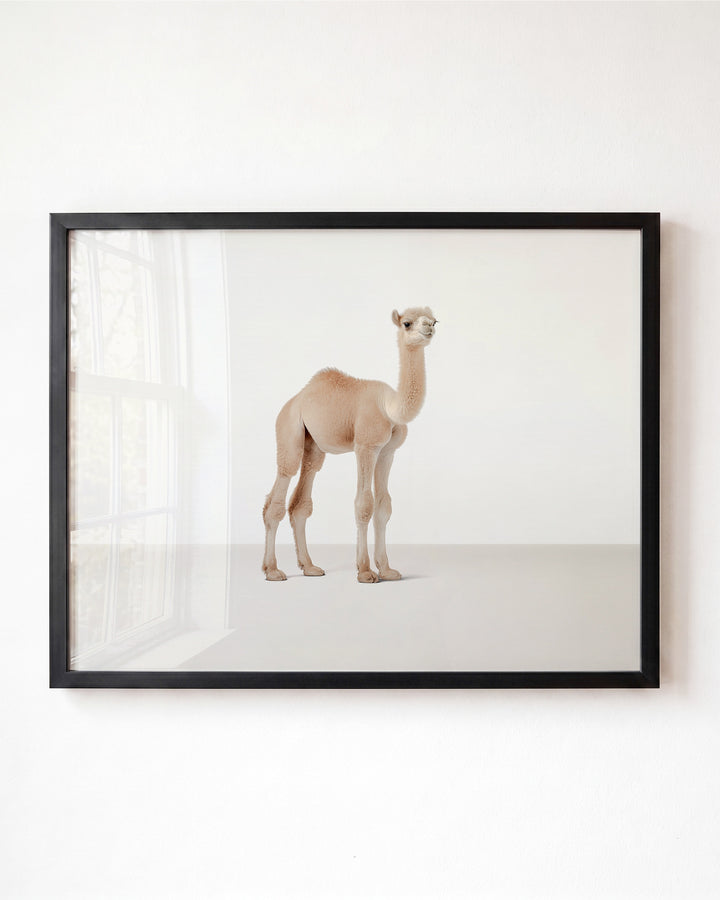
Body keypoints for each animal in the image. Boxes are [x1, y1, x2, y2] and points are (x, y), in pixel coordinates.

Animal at [262, 306, 437, 583]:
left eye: (434, 320)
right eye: (407, 323)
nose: (428, 327)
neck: (389, 407)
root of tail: (295, 399)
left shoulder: (387, 452)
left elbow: (384, 506)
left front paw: (387, 570)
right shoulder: (365, 446)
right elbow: (364, 504)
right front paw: (365, 571)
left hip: (314, 445)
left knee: (301, 499)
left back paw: (310, 566)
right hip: (288, 429)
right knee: (280, 488)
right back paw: (272, 570)